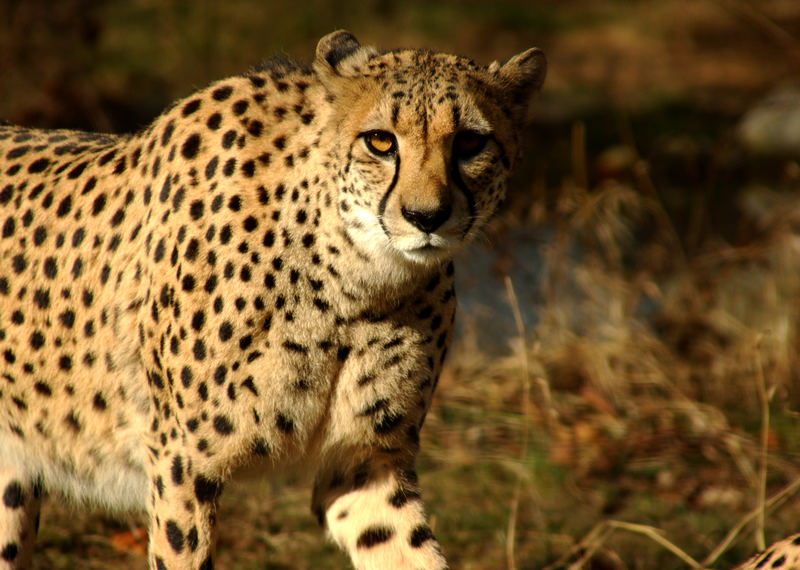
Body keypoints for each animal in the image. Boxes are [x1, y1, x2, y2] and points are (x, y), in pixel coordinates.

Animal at [0, 32, 548, 568]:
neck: (352, 283)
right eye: (380, 141)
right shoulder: (180, 465)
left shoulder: (363, 464)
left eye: (471, 142)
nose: (426, 216)